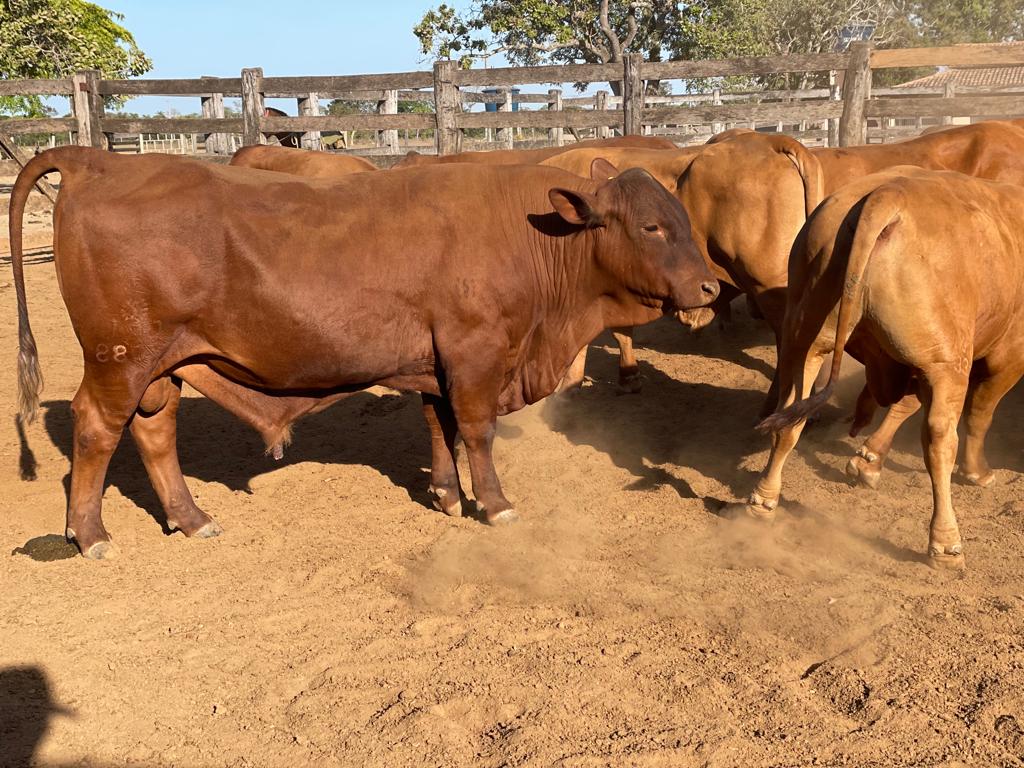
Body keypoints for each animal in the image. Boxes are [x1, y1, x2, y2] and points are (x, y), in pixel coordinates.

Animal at [745, 167, 1024, 573]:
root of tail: (885, 197)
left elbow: (904, 405)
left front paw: (869, 461)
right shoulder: (1009, 355)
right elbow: (980, 414)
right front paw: (977, 472)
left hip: (807, 335)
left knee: (790, 416)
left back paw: (763, 500)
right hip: (946, 363)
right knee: (940, 440)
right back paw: (946, 543)